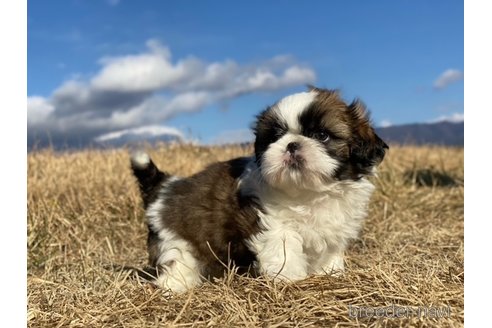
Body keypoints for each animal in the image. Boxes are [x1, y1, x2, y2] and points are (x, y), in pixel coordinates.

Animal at [131, 87, 388, 292]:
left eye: (322, 135)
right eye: (276, 136)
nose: (291, 144)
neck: (309, 192)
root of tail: (164, 186)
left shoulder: (334, 228)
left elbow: (329, 252)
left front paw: (330, 274)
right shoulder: (273, 227)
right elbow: (284, 253)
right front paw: (290, 281)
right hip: (175, 241)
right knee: (177, 265)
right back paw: (173, 288)